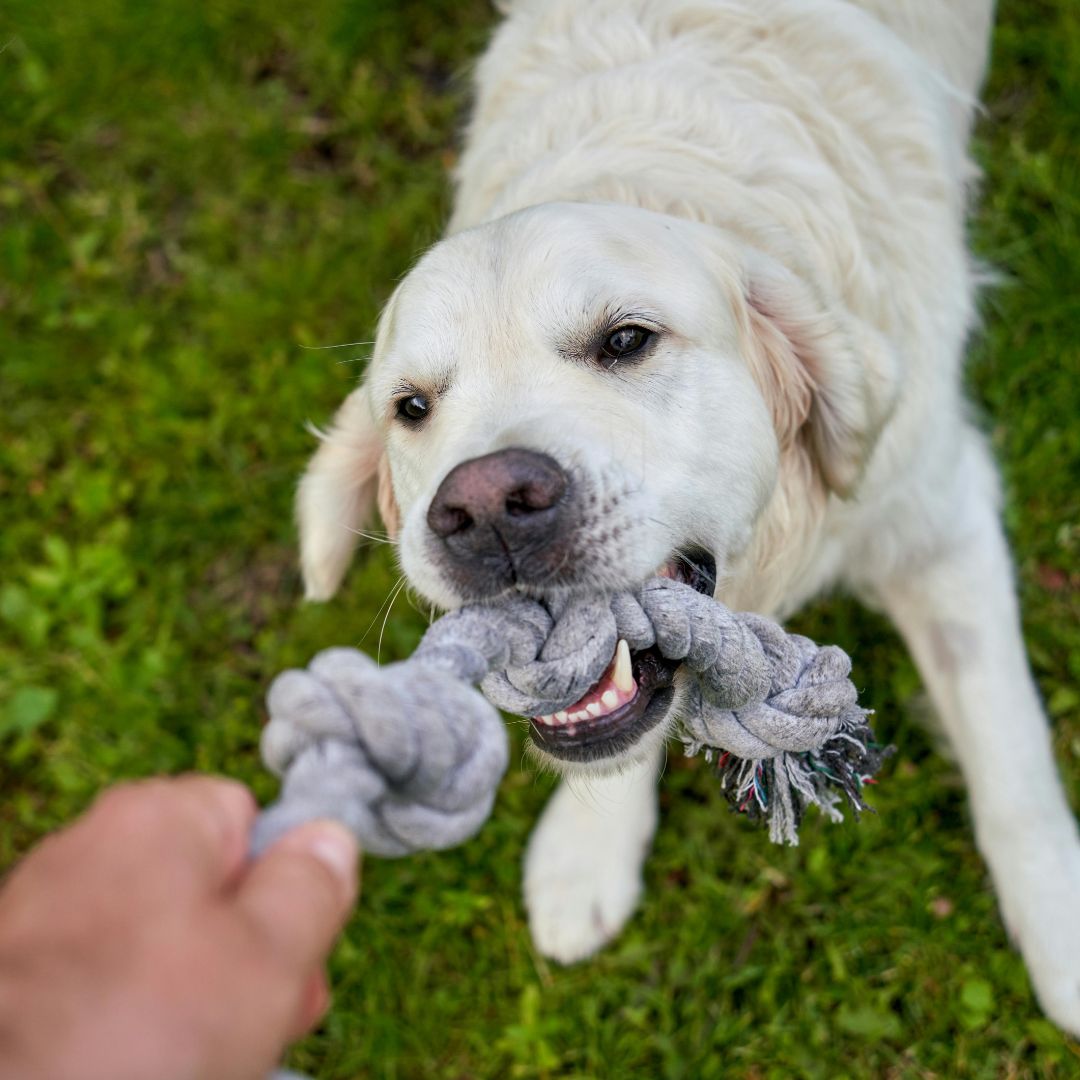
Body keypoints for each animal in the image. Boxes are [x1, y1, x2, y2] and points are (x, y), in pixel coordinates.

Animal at [298, 0, 1080, 1036]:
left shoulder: (936, 516)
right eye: (412, 407)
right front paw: (588, 850)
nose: (486, 507)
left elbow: (1010, 747)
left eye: (627, 340)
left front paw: (1063, 924)